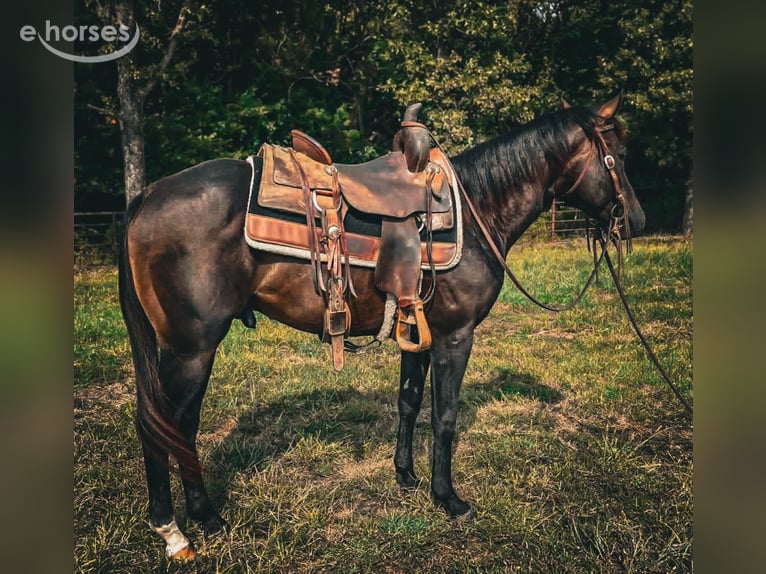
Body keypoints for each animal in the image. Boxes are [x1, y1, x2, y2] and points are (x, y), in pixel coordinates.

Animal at [119, 92, 645, 559]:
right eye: (618, 155)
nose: (636, 220)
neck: (480, 209)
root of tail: (149, 194)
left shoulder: (418, 335)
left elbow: (409, 403)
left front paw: (406, 476)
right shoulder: (455, 337)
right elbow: (445, 416)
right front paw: (448, 498)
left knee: (171, 424)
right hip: (192, 348)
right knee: (168, 425)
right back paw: (182, 527)